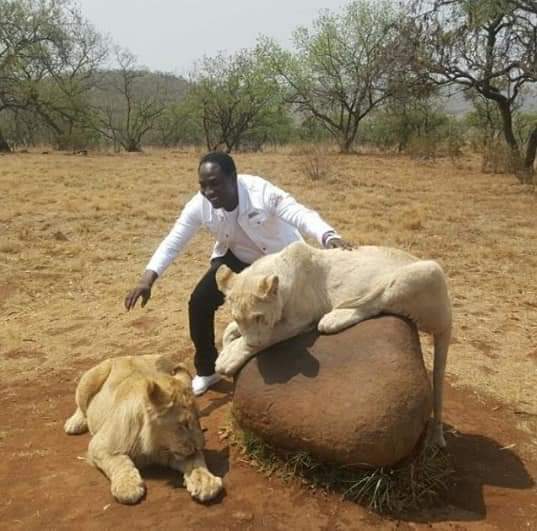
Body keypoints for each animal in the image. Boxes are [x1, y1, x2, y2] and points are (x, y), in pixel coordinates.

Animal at [216, 243, 450, 446]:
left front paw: (228, 359)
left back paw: (332, 318)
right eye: (238, 317)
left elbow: (266, 338)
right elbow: (229, 330)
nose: (253, 339)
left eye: (259, 317)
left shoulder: (300, 320)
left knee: (376, 302)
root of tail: (447, 315)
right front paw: (227, 346)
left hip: (430, 271)